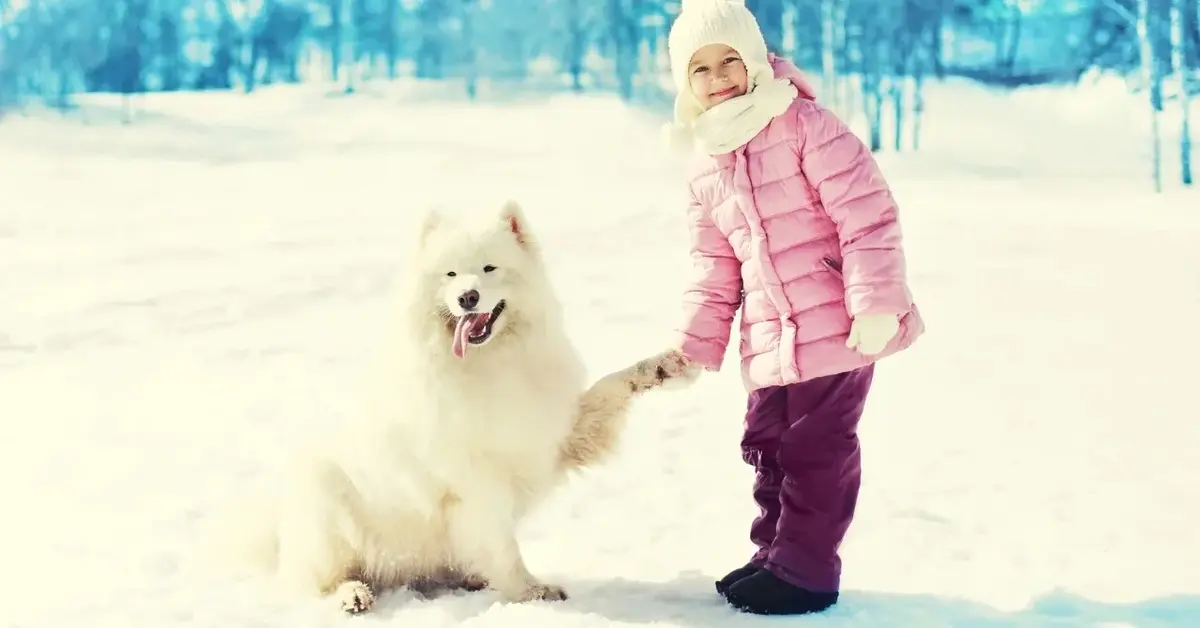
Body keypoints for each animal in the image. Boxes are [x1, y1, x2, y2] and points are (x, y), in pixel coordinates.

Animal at [220, 200, 700, 614]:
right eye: (450, 275)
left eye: (489, 268)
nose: (468, 297)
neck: (491, 364)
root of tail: (280, 535)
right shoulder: (476, 480)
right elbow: (503, 546)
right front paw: (531, 592)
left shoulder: (554, 436)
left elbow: (609, 387)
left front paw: (662, 367)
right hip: (327, 497)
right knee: (319, 583)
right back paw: (352, 595)